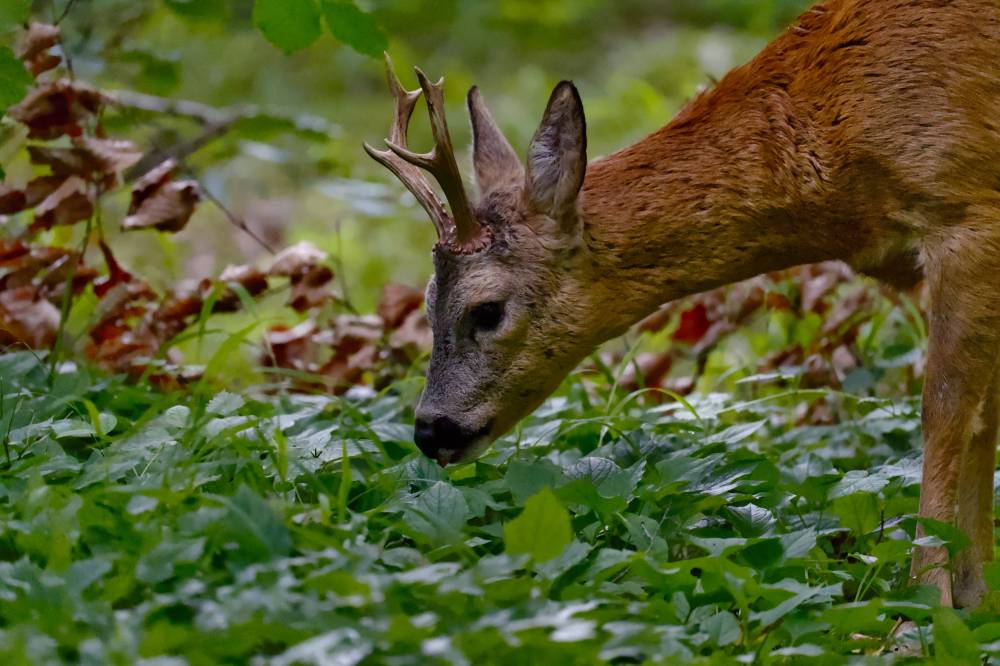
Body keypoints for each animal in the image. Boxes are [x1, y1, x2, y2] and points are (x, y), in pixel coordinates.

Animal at [364, 0, 1000, 611]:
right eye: (427, 302)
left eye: (487, 310)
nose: (430, 430)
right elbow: (982, 419)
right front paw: (976, 596)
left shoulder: (966, 214)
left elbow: (944, 413)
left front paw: (925, 606)